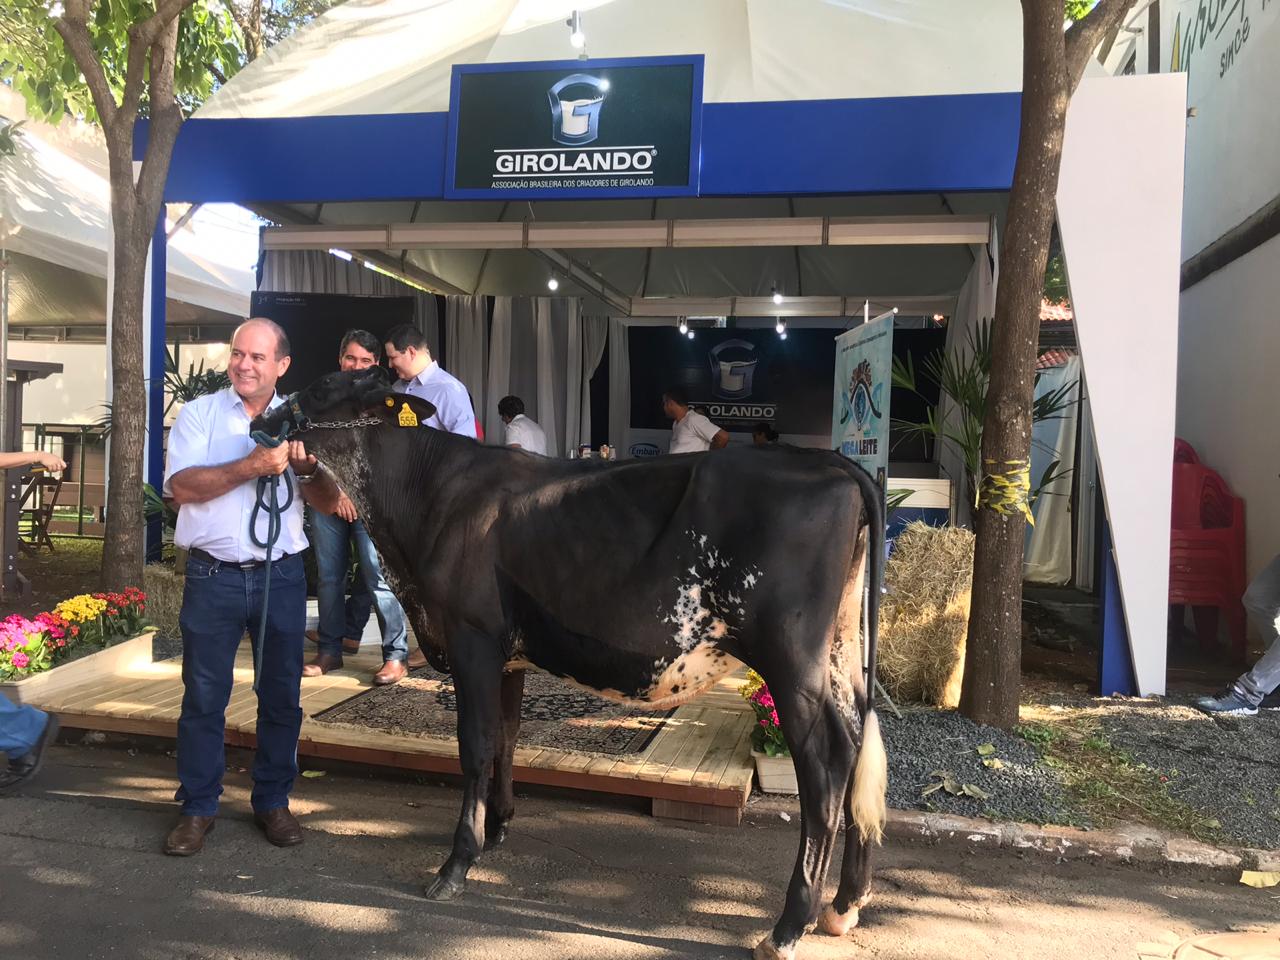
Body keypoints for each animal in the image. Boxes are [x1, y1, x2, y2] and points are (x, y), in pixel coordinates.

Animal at [254, 368, 885, 960]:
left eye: (324, 385)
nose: (262, 421)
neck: (426, 496)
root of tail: (830, 463)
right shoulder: (508, 654)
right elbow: (506, 735)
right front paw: (499, 825)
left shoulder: (472, 637)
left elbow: (474, 744)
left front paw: (458, 862)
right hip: (836, 652)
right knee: (856, 736)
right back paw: (845, 902)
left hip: (790, 657)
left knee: (824, 764)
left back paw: (788, 926)